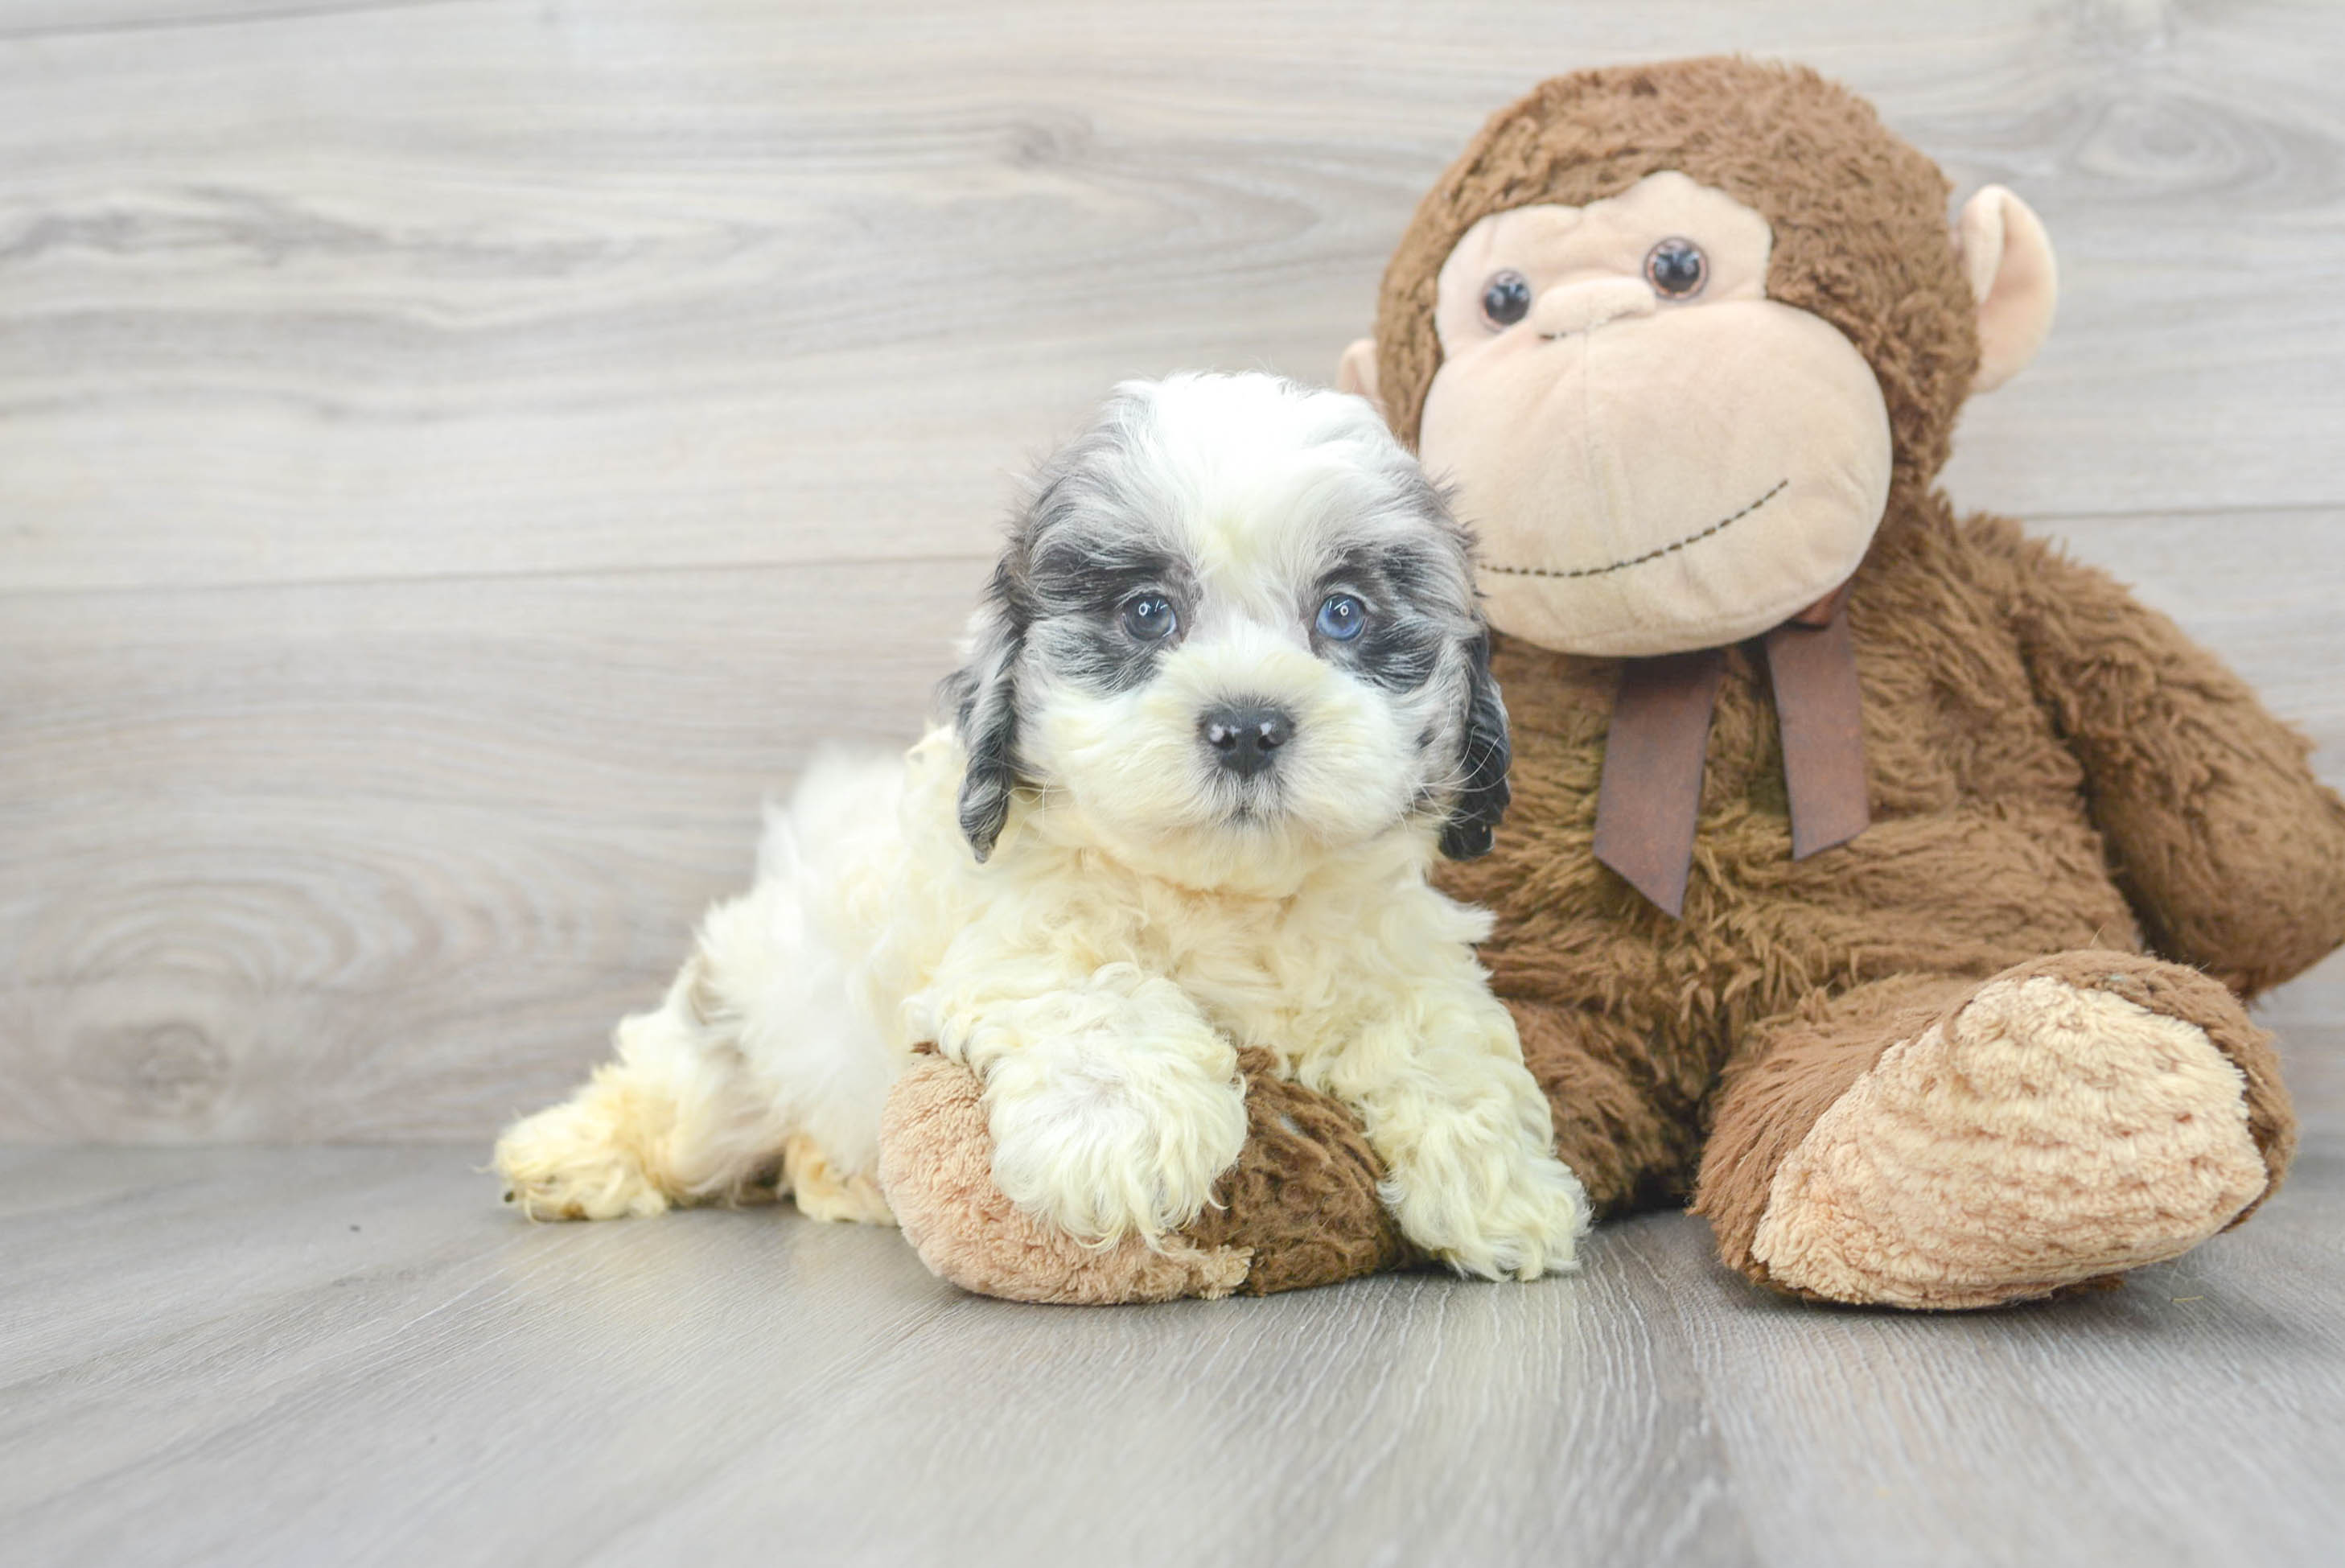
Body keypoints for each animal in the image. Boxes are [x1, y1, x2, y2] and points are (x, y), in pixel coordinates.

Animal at [495, 372, 1594, 1274]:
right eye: (1146, 612)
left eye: (1344, 614)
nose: (1245, 726)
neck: (1225, 897)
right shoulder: (1005, 938)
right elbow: (1096, 993)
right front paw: (1121, 1141)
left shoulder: (1395, 951)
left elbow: (1443, 1033)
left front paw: (1502, 1188)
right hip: (748, 1024)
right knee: (674, 1099)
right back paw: (567, 1155)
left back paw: (841, 1180)